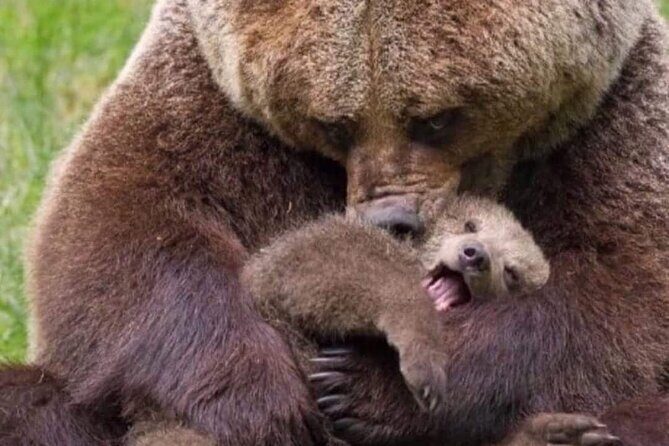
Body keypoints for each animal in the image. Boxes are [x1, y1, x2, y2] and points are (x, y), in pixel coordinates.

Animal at [1, 0, 665, 445]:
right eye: (334, 124)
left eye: (436, 119)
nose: (390, 218)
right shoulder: (202, 89)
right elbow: (114, 226)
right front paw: (261, 401)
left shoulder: (613, 115)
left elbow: (623, 299)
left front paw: (374, 388)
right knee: (32, 404)